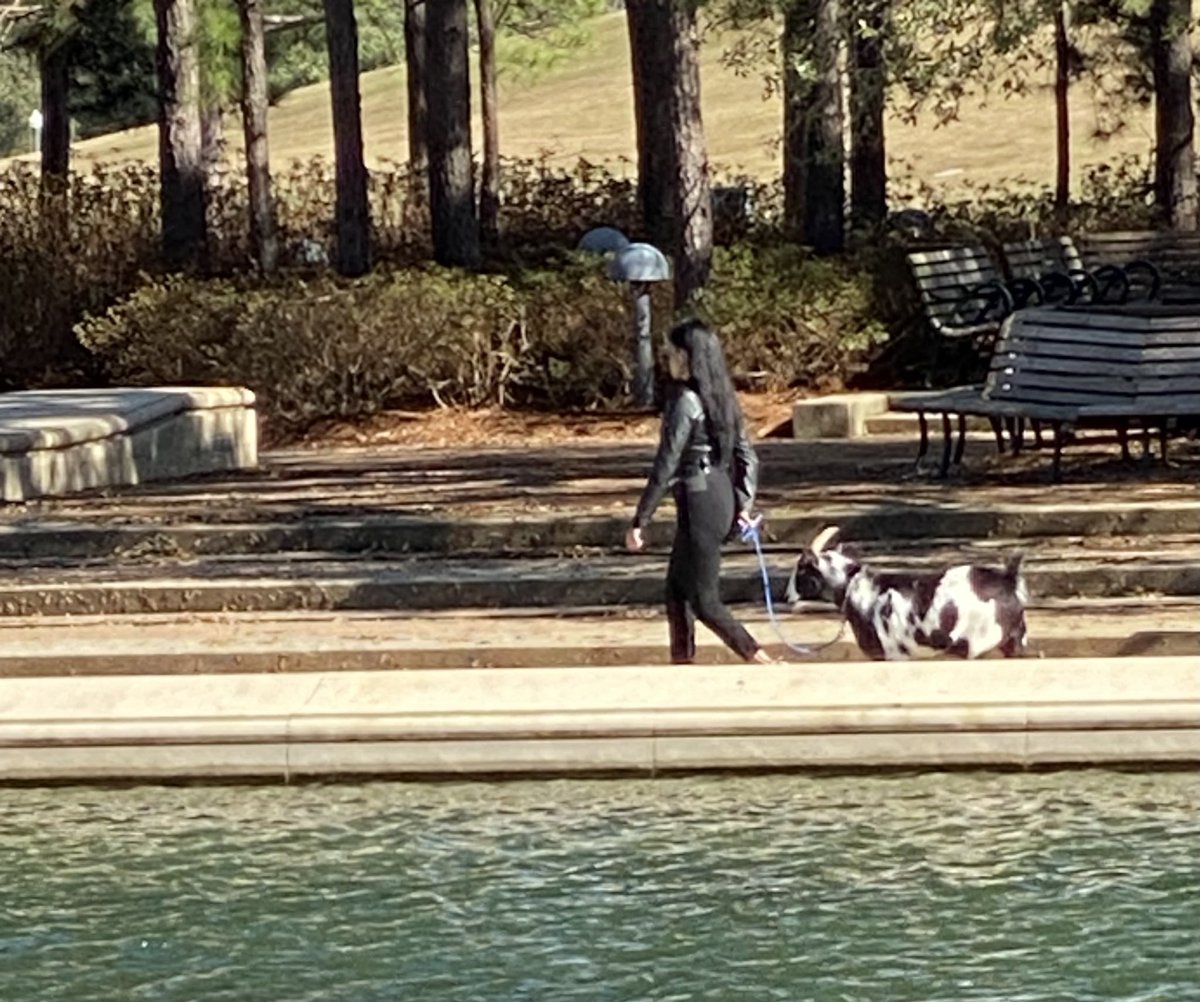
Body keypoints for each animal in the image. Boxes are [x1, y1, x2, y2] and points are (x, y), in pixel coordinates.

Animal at [787, 528, 1032, 662]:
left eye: (801, 567)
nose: (787, 595)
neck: (854, 587)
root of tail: (1008, 579)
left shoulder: (889, 655)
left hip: (977, 644)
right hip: (1014, 641)